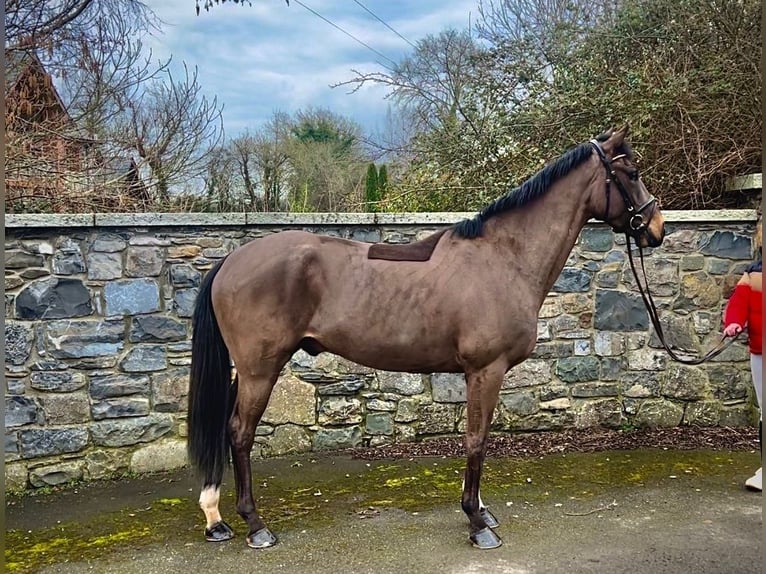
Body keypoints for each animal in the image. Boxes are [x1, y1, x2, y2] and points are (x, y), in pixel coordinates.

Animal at [186, 127, 664, 552]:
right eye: (633, 172)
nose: (656, 228)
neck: (504, 258)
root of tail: (231, 260)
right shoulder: (485, 370)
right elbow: (476, 441)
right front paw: (477, 524)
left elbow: (478, 437)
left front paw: (483, 511)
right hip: (260, 369)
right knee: (239, 433)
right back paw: (255, 525)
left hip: (249, 370)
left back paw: (216, 518)